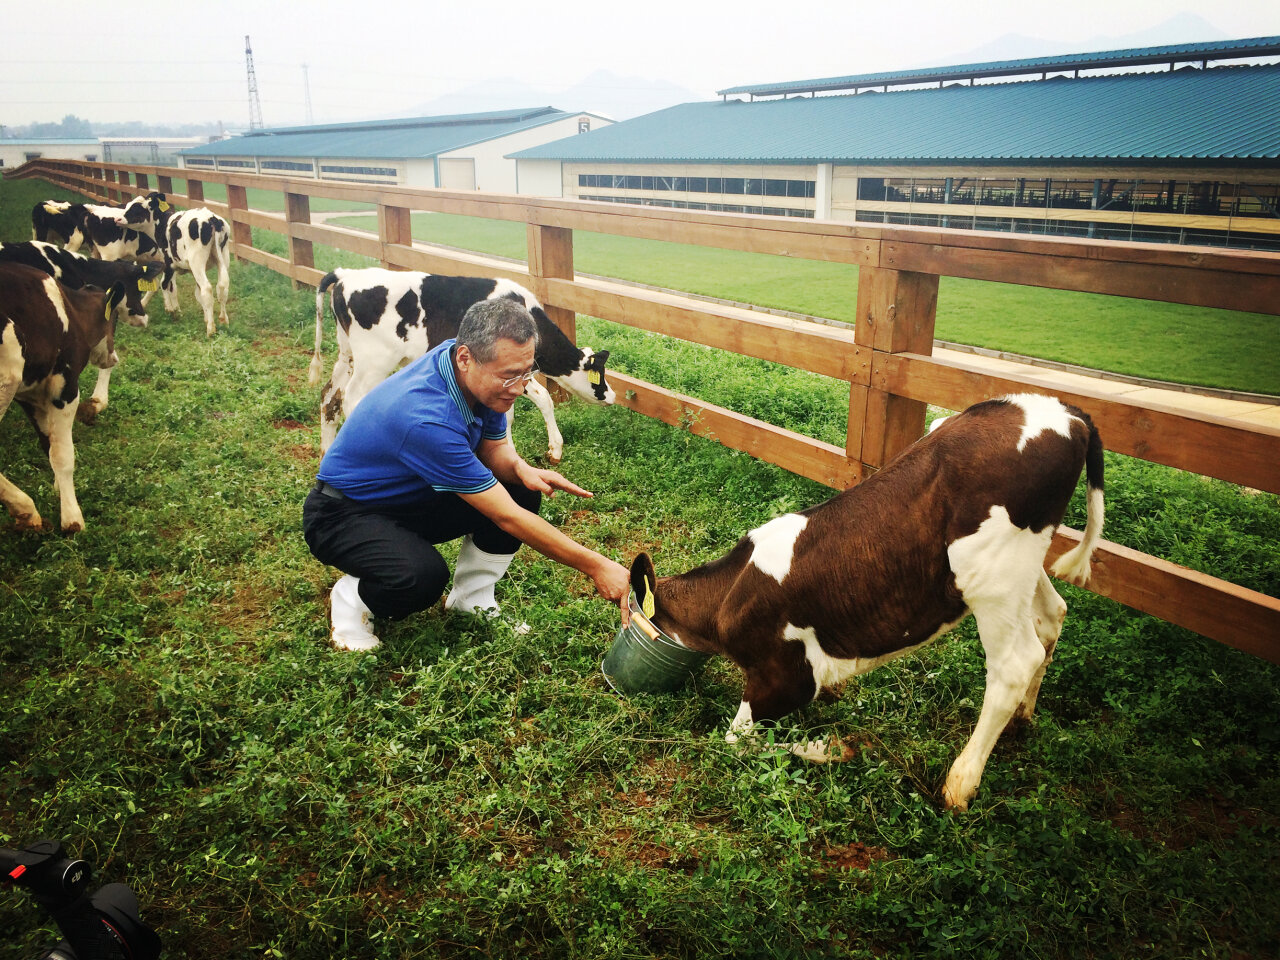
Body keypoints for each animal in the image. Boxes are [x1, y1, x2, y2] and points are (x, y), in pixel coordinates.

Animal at [0, 263, 126, 535]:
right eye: (115, 319)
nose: (113, 357)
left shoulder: (30, 396)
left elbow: (48, 444)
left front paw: (59, 489)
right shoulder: (65, 389)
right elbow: (63, 455)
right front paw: (72, 517)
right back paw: (27, 509)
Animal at [307, 267, 611, 463]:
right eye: (600, 374)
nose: (612, 395)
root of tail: (345, 274)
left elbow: (541, 399)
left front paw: (554, 450)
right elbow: (513, 412)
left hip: (347, 355)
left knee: (329, 398)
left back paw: (326, 455)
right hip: (374, 361)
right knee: (352, 398)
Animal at [624, 396, 1105, 814]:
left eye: (629, 617)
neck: (730, 593)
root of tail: (1067, 411)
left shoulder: (783, 677)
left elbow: (737, 739)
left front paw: (830, 749)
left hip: (994, 577)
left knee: (1015, 663)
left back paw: (960, 783)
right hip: (1022, 566)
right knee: (1051, 616)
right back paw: (1023, 718)